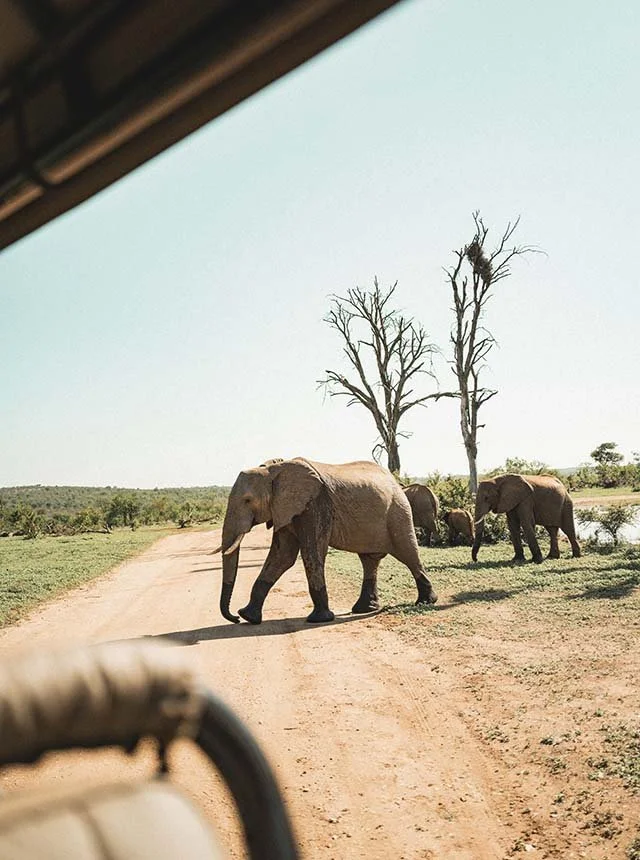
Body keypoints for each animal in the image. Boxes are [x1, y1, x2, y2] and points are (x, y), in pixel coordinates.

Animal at [213, 457, 438, 625]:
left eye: (247, 500)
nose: (233, 618)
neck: (275, 469)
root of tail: (395, 482)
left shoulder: (314, 505)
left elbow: (312, 553)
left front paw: (319, 620)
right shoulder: (287, 510)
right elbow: (282, 556)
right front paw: (248, 616)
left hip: (398, 512)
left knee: (408, 553)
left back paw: (425, 602)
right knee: (369, 560)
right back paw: (364, 609)